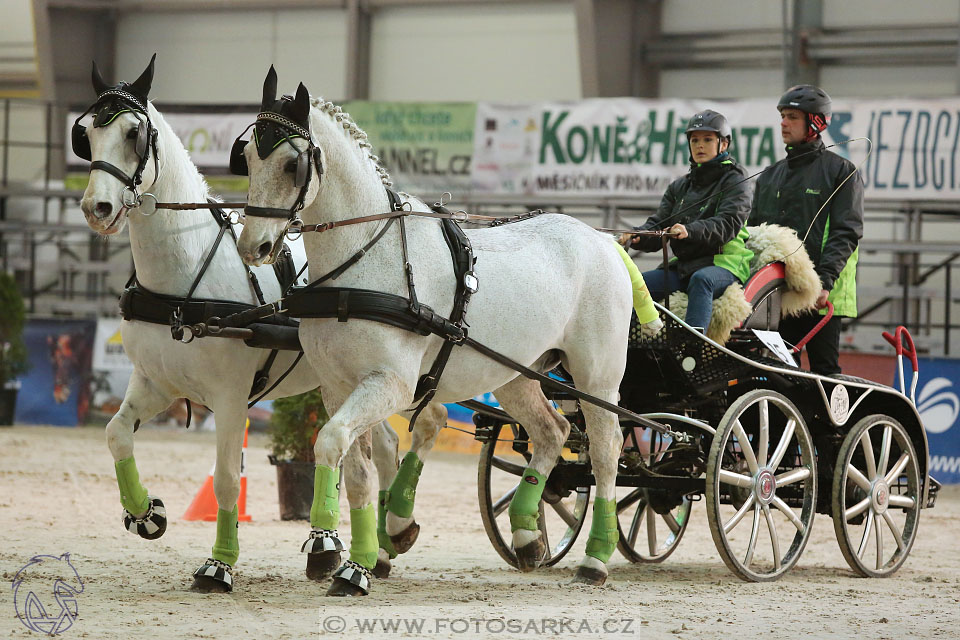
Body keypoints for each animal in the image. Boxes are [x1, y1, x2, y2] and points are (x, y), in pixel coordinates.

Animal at [77, 57, 418, 592]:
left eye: (134, 133)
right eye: (87, 132)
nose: (98, 208)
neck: (184, 276)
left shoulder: (230, 396)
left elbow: (224, 479)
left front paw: (218, 565)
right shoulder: (155, 383)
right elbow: (115, 433)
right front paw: (146, 513)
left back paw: (372, 544)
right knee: (375, 447)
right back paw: (350, 550)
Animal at [236, 67, 632, 592]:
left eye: (290, 165)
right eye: (247, 158)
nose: (253, 247)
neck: (364, 259)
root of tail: (603, 240)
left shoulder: (392, 382)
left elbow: (332, 443)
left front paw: (344, 558)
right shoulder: (337, 385)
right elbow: (356, 467)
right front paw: (358, 555)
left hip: (597, 377)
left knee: (606, 450)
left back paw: (595, 559)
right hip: (516, 373)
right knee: (553, 431)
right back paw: (528, 536)